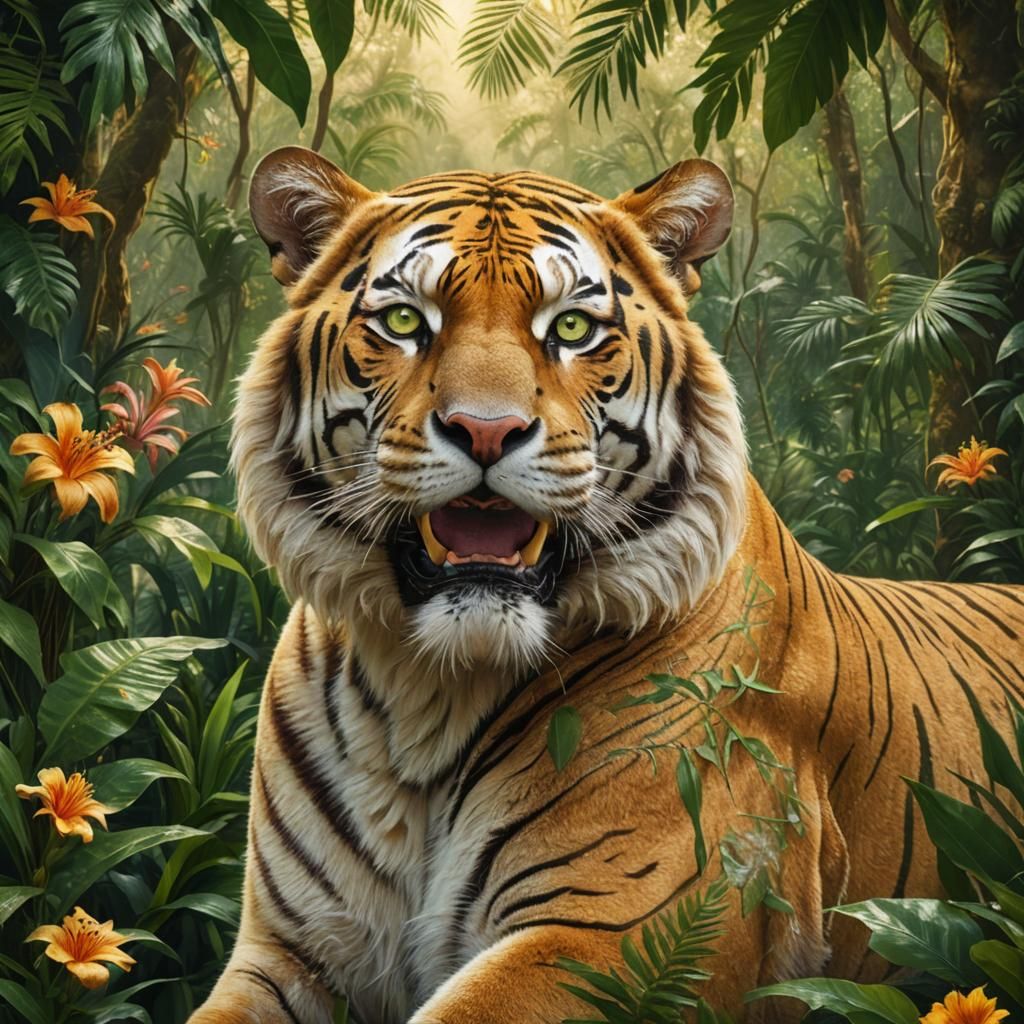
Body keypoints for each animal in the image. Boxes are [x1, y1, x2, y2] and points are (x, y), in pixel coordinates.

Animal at [191, 146, 1024, 1024]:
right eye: (407, 322)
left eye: (571, 329)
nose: (485, 429)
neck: (429, 692)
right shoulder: (292, 953)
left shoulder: (616, 937)